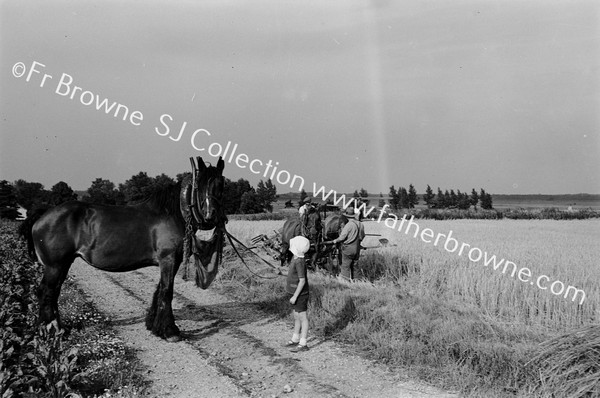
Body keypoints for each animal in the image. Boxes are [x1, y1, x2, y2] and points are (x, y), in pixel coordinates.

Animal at [24, 157, 225, 340]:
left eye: (221, 185)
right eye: (200, 185)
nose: (212, 215)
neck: (172, 213)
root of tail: (43, 215)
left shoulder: (171, 262)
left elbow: (160, 290)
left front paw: (154, 325)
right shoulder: (168, 259)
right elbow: (167, 291)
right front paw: (170, 331)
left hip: (64, 264)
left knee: (54, 291)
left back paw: (59, 329)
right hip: (55, 266)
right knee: (47, 291)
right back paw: (51, 330)